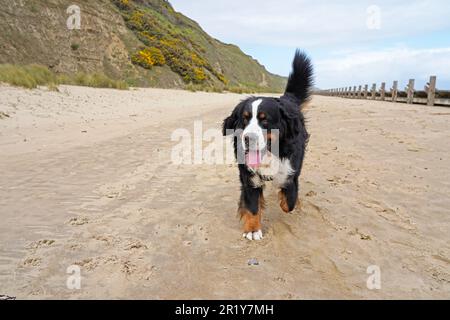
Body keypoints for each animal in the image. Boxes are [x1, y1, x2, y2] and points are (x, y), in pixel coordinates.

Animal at [221, 50, 312, 240]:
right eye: (245, 119)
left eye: (265, 120)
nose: (248, 138)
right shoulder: (248, 176)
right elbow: (252, 204)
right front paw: (252, 228)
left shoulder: (290, 171)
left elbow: (289, 202)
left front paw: (285, 200)